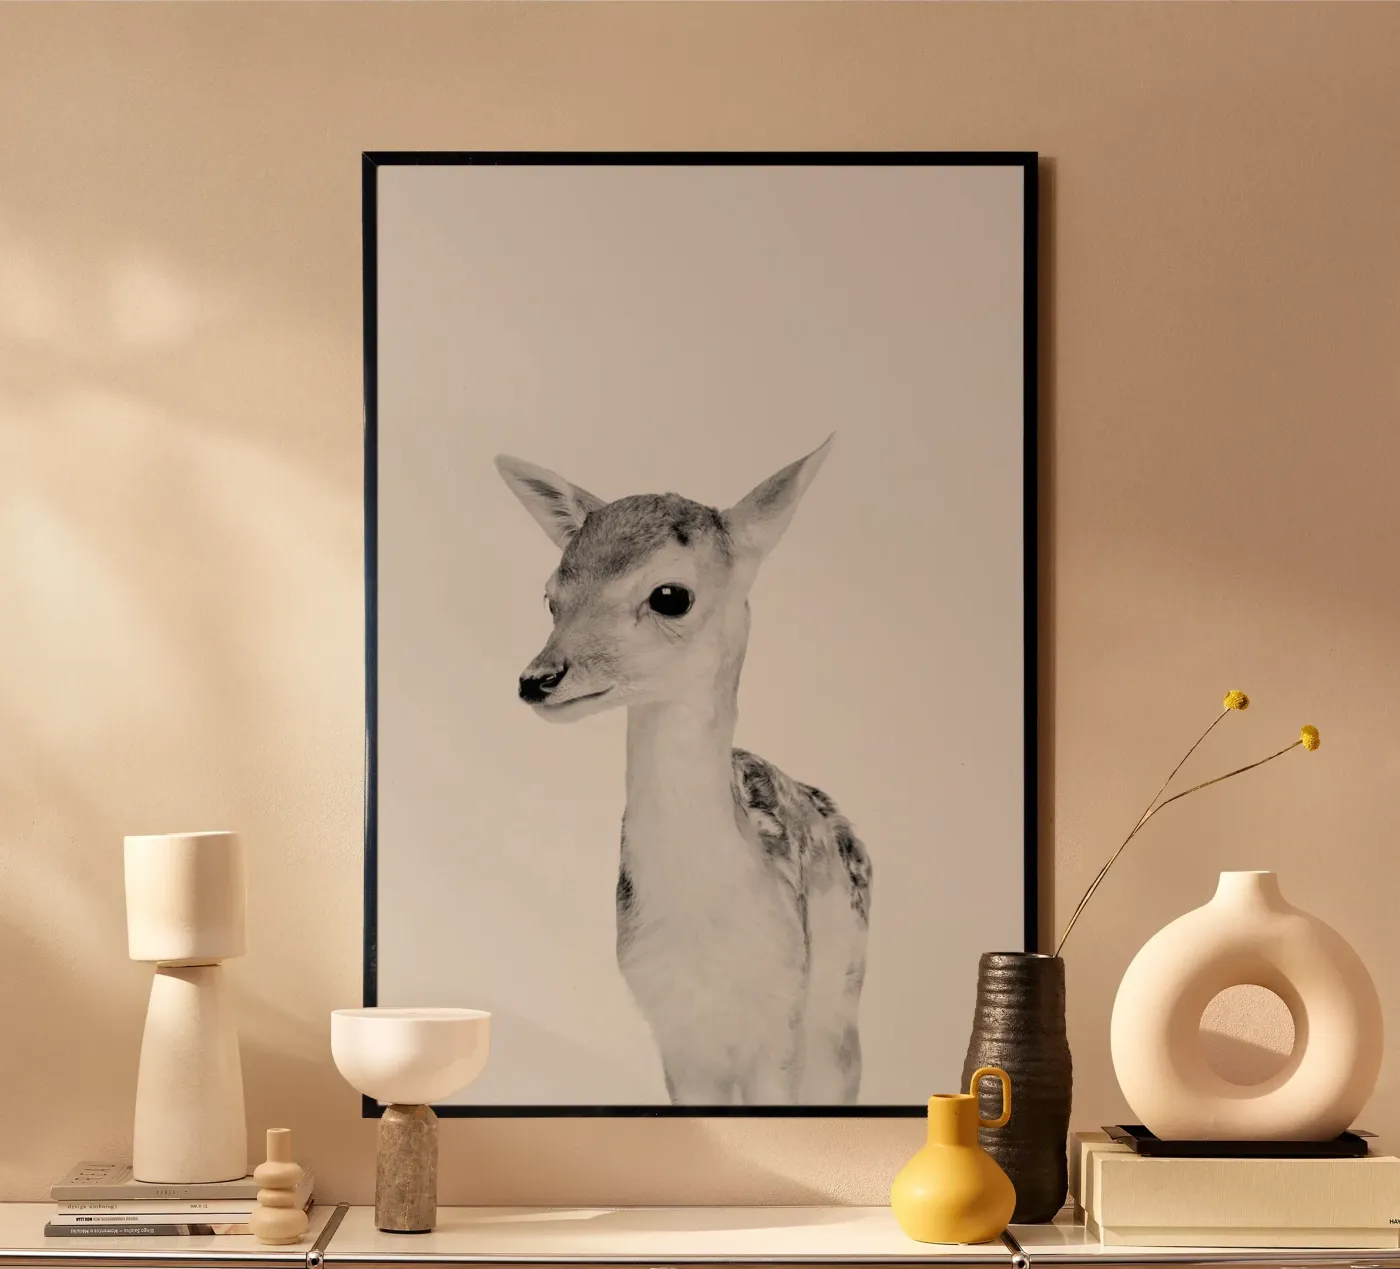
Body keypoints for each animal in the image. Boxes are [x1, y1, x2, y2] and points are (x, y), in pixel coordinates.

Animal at [495, 439, 871, 1106]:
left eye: (670, 595)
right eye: (550, 596)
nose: (537, 678)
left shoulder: (781, 1022)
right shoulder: (675, 1033)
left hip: (840, 995)